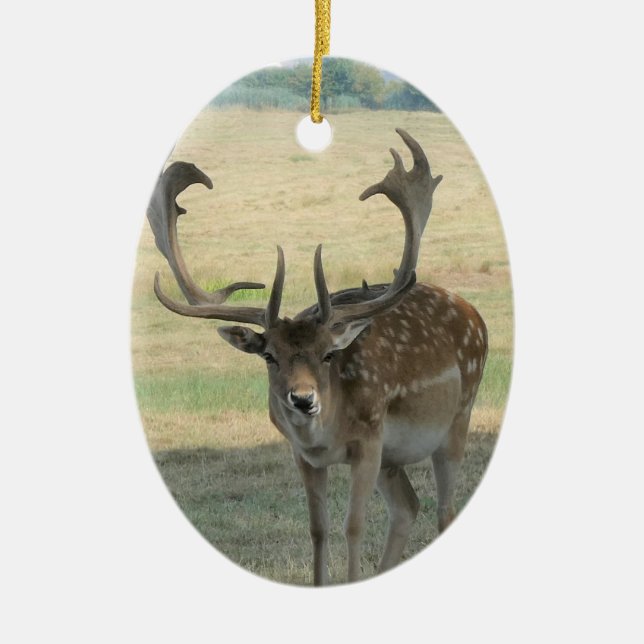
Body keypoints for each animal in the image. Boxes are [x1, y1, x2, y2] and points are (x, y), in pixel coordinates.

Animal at [146, 129, 488, 585]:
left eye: (328, 355)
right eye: (269, 355)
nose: (303, 399)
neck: (327, 433)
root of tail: (476, 315)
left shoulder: (370, 441)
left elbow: (353, 526)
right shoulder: (304, 455)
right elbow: (318, 528)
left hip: (458, 418)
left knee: (444, 510)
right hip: (396, 457)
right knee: (408, 506)